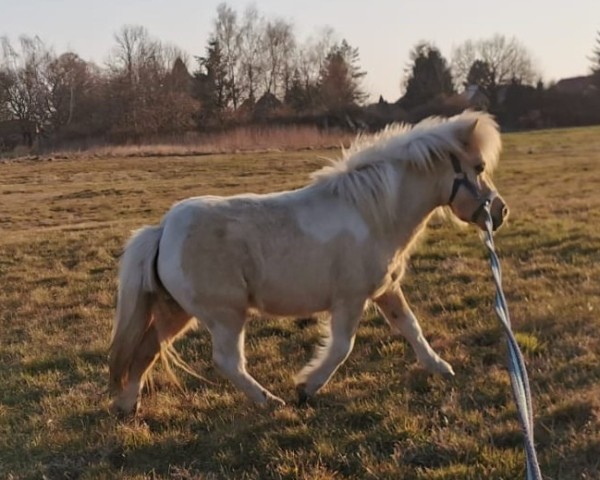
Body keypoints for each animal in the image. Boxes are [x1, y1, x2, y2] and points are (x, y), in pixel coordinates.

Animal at [108, 110, 506, 414]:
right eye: (478, 166)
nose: (500, 212)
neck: (372, 214)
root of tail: (162, 230)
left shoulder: (386, 290)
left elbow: (411, 327)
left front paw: (441, 368)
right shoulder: (350, 298)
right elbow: (342, 346)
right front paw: (306, 387)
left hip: (175, 311)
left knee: (146, 350)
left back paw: (128, 406)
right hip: (224, 316)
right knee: (227, 362)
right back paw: (269, 401)